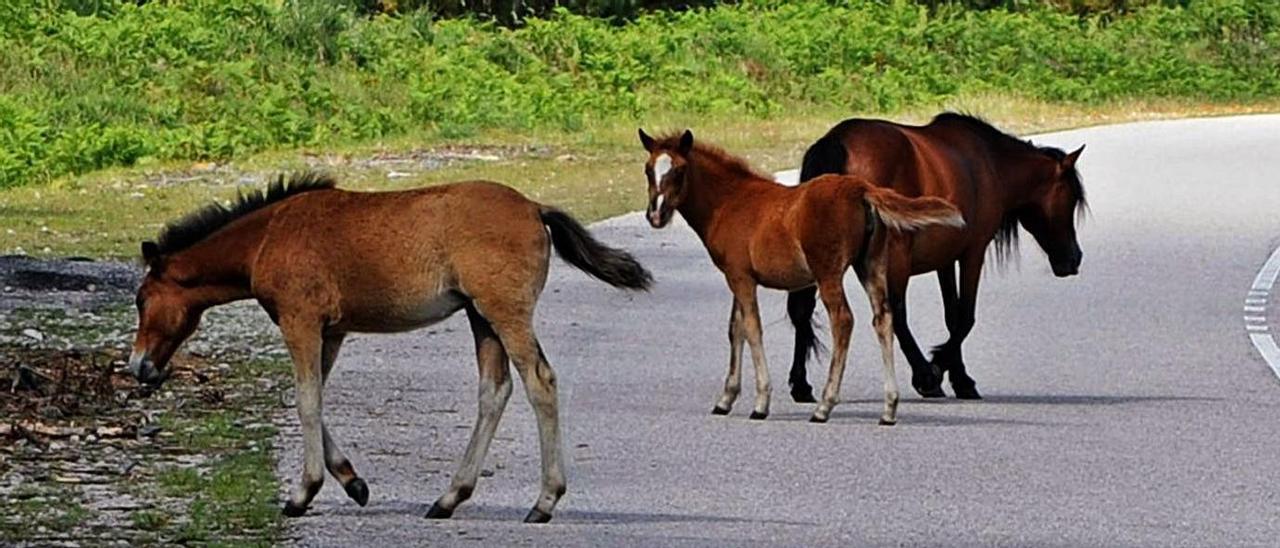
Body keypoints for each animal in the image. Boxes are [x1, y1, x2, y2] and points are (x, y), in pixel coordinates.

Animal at [127, 172, 650, 524]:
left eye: (141, 299)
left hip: (504, 312)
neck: (267, 237)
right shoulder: (331, 331)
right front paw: (353, 483)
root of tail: (534, 207)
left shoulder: (302, 321)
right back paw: (449, 498)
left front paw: (302, 494)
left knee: (539, 381)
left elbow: (306, 400)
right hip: (480, 317)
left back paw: (543, 502)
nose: (139, 367)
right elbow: (316, 400)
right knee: (494, 390)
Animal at [640, 128, 962, 425]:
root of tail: (862, 189)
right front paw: (725, 399)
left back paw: (824, 406)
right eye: (648, 170)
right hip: (869, 266)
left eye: (680, 170)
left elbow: (752, 329)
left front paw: (761, 402)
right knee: (883, 319)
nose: (655, 216)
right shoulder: (737, 275)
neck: (729, 202)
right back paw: (889, 408)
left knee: (843, 320)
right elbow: (736, 329)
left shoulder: (741, 277)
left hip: (828, 271)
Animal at [783, 112, 1085, 402]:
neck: (992, 165)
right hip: (894, 257)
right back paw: (924, 374)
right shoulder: (973, 252)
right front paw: (940, 369)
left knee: (802, 310)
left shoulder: (946, 259)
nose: (1074, 259)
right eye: (1070, 199)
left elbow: (952, 316)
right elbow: (965, 317)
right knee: (895, 314)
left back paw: (801, 384)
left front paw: (959, 377)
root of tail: (838, 142)